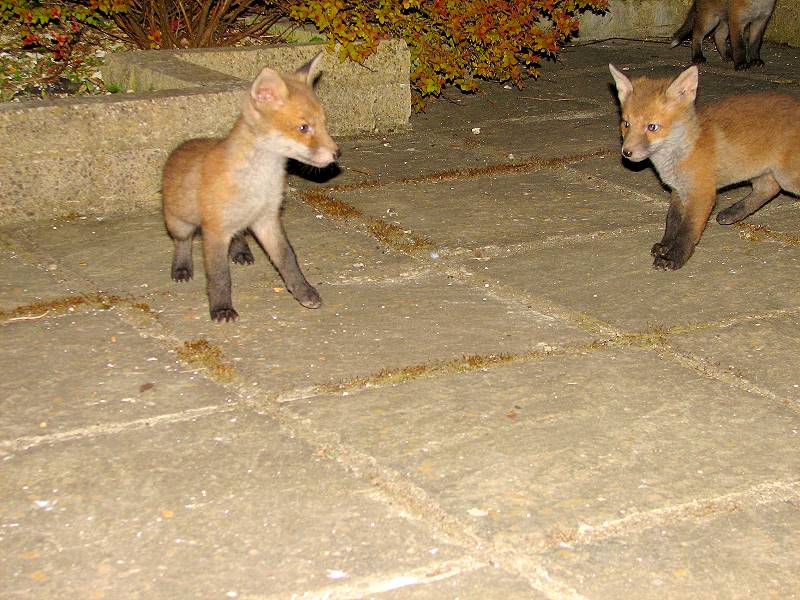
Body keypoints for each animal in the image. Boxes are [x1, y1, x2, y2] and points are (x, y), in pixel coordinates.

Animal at [162, 53, 340, 322]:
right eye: (303, 128)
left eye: (324, 123)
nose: (337, 153)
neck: (260, 181)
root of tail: (180, 146)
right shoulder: (215, 230)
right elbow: (219, 276)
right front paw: (221, 308)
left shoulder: (268, 219)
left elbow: (288, 259)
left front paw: (304, 292)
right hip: (180, 223)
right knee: (182, 242)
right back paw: (182, 266)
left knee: (238, 235)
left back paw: (240, 251)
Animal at [609, 64, 800, 270]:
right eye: (626, 124)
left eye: (652, 127)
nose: (626, 152)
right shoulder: (679, 190)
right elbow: (672, 221)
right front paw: (665, 245)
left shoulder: (702, 193)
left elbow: (688, 230)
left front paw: (674, 256)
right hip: (758, 169)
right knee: (769, 188)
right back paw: (733, 213)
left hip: (787, 176)